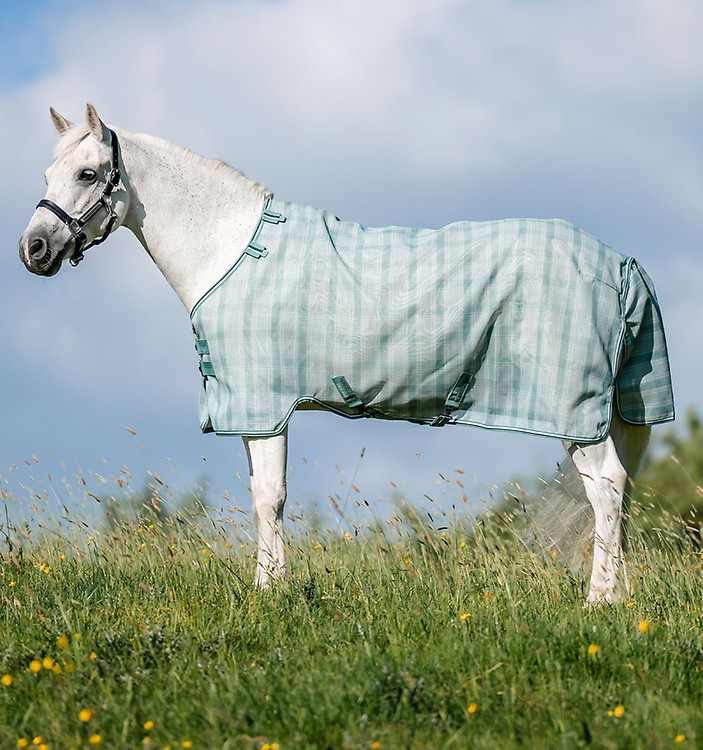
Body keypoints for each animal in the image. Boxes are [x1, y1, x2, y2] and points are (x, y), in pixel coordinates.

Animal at [19, 104, 674, 604]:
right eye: (48, 173)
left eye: (86, 173)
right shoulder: (252, 411)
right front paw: (270, 585)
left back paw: (598, 601)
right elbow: (260, 495)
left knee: (606, 489)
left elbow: (269, 498)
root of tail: (618, 262)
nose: (33, 249)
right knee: (617, 494)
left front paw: (269, 593)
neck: (233, 251)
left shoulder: (263, 405)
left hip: (575, 412)